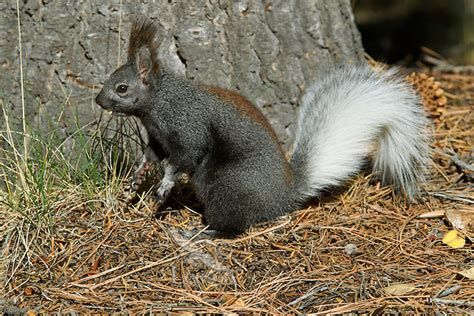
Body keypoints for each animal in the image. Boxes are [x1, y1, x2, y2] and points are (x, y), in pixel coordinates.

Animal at [95, 19, 430, 236]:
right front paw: (138, 175)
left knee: (234, 225)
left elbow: (183, 158)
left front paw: (164, 184)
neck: (157, 105)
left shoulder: (188, 126)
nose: (99, 100)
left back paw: (203, 232)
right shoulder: (157, 137)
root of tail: (282, 196)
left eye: (122, 88)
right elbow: (151, 154)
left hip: (230, 187)